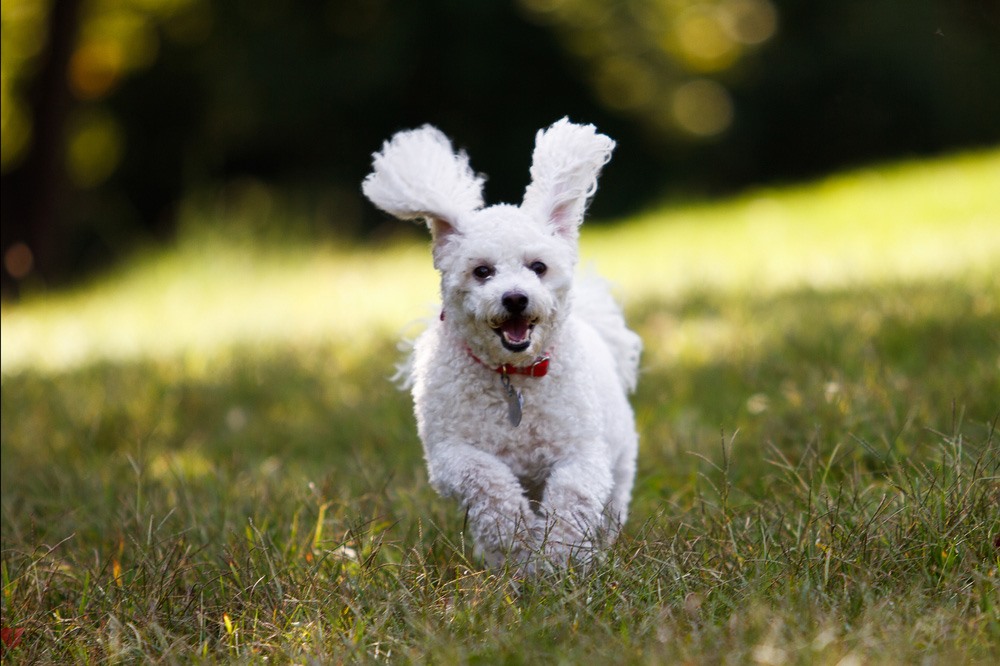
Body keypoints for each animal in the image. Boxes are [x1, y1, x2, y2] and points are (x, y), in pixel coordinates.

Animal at [362, 116, 640, 568]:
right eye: (482, 271)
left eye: (538, 267)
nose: (515, 298)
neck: (514, 375)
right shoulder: (452, 452)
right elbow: (489, 483)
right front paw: (518, 540)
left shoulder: (581, 451)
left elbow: (572, 497)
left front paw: (559, 556)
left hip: (619, 465)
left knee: (609, 507)